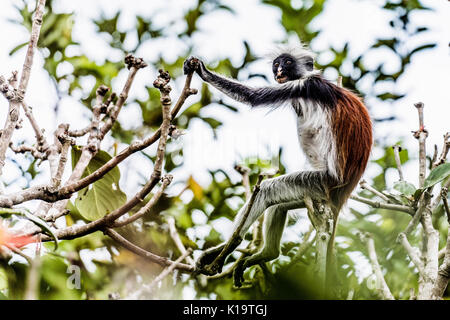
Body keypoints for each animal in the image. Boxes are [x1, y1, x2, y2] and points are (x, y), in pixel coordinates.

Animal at [183, 44, 372, 282]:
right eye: (276, 64)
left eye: (287, 62)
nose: (279, 70)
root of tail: (343, 193)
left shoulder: (303, 86)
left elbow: (253, 97)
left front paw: (202, 70)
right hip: (313, 193)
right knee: (279, 205)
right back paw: (267, 252)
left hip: (320, 182)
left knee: (266, 190)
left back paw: (230, 245)